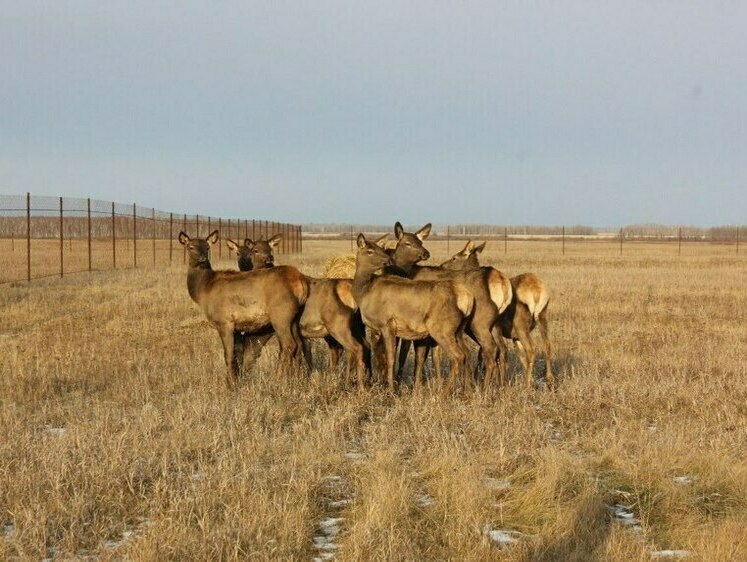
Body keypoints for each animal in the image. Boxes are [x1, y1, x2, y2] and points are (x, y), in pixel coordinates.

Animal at [180, 230, 308, 388]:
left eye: (207, 247)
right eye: (190, 247)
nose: (203, 258)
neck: (203, 290)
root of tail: (301, 281)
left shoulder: (224, 322)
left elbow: (228, 355)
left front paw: (230, 385)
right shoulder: (237, 328)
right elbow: (238, 354)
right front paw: (235, 380)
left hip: (281, 314)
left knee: (289, 344)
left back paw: (279, 379)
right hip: (296, 317)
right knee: (299, 344)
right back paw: (297, 379)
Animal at [226, 234, 370, 388]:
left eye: (270, 249)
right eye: (255, 250)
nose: (269, 259)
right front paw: (301, 377)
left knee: (349, 348)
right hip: (354, 327)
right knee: (359, 346)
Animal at [356, 232, 474, 394]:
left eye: (380, 249)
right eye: (369, 251)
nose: (389, 260)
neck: (364, 292)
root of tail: (466, 297)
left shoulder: (387, 324)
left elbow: (390, 358)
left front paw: (392, 390)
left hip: (442, 328)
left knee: (458, 356)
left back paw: (443, 393)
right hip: (459, 330)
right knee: (467, 353)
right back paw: (466, 392)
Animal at [444, 238, 556, 388]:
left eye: (454, 257)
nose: (442, 265)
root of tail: (538, 291)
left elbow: (484, 353)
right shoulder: (513, 337)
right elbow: (517, 356)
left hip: (520, 324)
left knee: (531, 349)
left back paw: (526, 384)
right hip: (542, 316)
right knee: (547, 345)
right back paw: (549, 379)